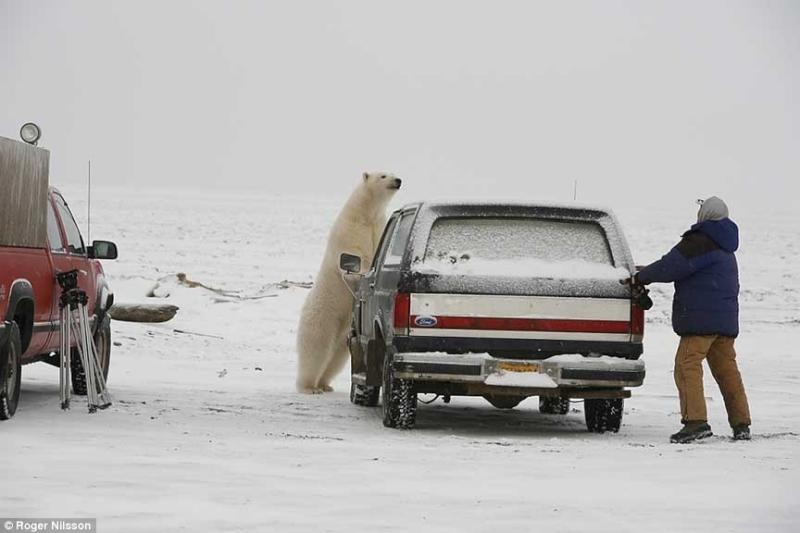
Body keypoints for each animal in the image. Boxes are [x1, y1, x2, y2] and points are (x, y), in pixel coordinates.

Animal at [295, 172, 402, 393]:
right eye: (383, 175)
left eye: (393, 173)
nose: (398, 181)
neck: (366, 213)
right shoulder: (351, 228)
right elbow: (354, 253)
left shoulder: (377, 227)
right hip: (323, 316)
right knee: (317, 349)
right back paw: (309, 386)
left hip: (344, 328)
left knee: (338, 356)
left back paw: (325, 384)